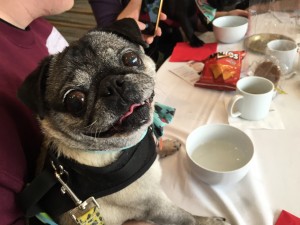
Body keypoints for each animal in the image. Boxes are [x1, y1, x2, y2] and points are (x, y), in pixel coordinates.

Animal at [17, 18, 230, 225]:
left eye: (131, 59)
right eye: (75, 100)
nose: (111, 85)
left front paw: (167, 145)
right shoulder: (156, 206)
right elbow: (186, 217)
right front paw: (209, 221)